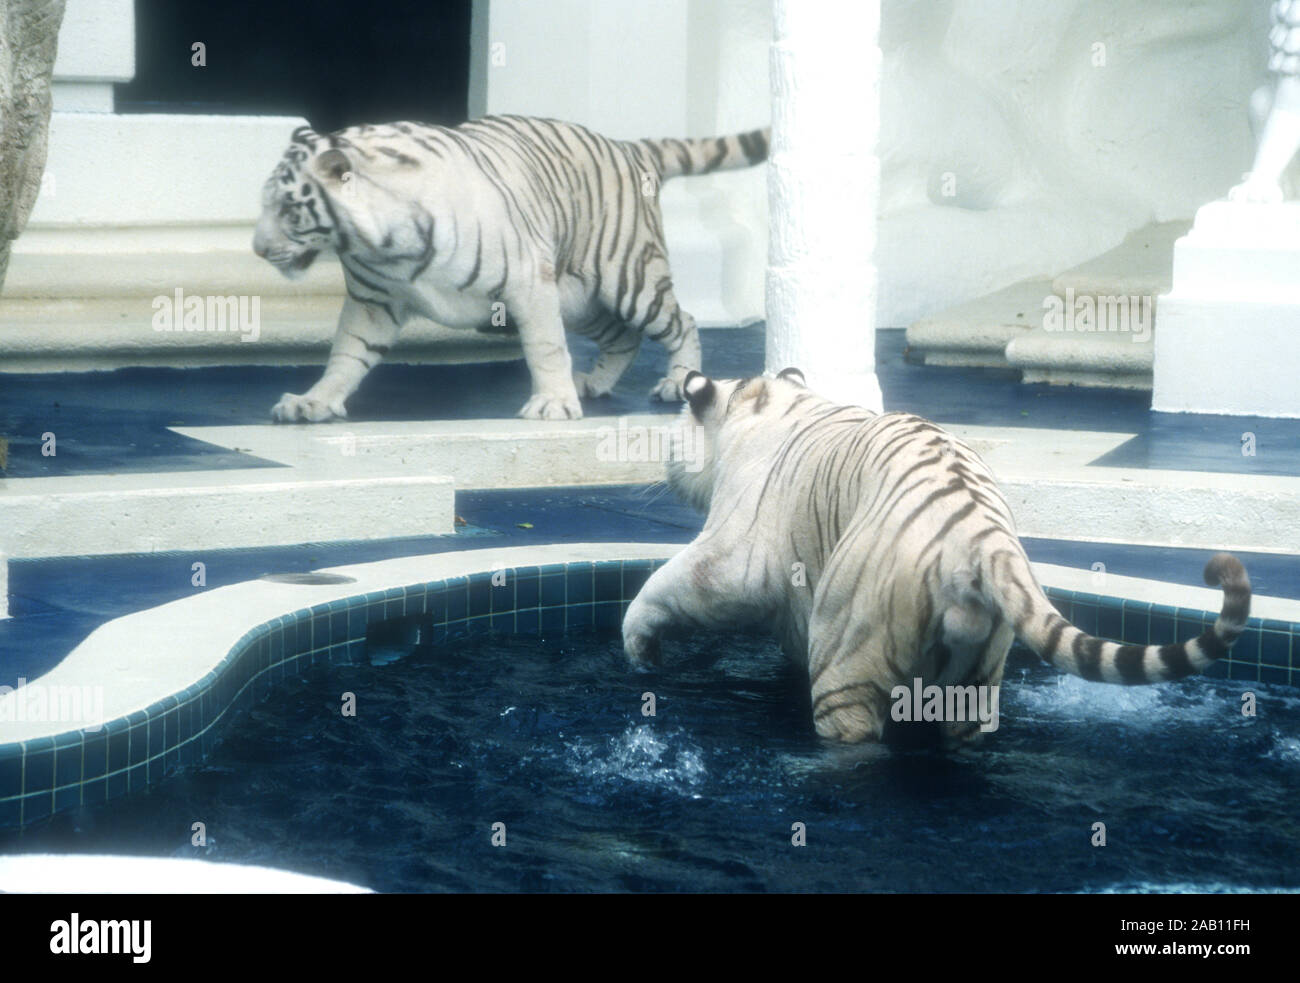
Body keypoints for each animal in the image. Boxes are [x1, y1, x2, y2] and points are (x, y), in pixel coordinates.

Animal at [252, 115, 770, 422]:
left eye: (288, 208)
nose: (256, 249)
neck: (381, 245)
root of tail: (629, 147)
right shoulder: (372, 302)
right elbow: (347, 354)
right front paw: (312, 402)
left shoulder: (529, 283)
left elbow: (545, 347)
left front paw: (553, 403)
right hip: (580, 298)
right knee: (624, 337)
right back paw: (594, 383)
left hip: (628, 278)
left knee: (683, 321)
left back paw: (674, 382)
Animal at [622, 368, 1253, 746]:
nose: (664, 467)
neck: (766, 403)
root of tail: (983, 536)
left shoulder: (738, 551)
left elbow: (675, 583)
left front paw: (641, 648)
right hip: (976, 675)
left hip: (851, 647)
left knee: (850, 727)